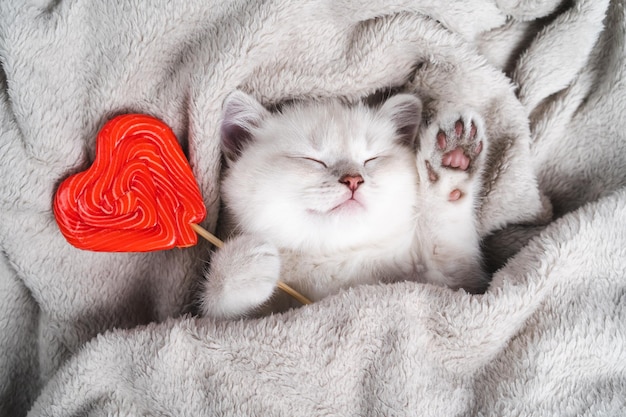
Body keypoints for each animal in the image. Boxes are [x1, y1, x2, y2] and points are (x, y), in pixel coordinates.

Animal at [197, 91, 486, 318]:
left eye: (371, 159)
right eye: (311, 159)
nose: (353, 179)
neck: (332, 260)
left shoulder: (454, 285)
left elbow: (450, 249)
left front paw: (452, 164)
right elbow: (216, 316)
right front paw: (241, 265)